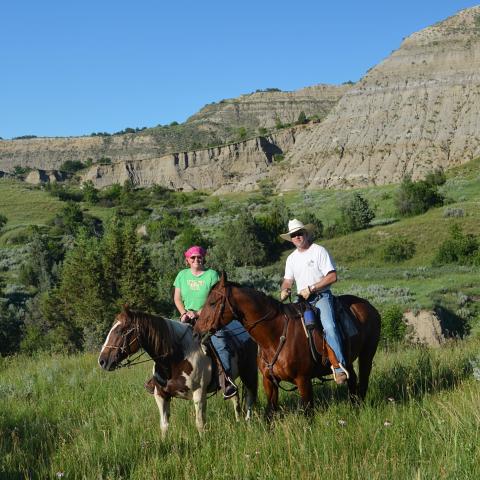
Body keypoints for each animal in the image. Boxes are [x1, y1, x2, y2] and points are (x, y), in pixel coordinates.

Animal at [97, 306, 258, 436]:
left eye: (120, 331)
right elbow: (164, 425)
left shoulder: (199, 393)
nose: (102, 361)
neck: (175, 358)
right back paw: (238, 421)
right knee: (235, 397)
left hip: (249, 373)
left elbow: (200, 423)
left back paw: (248, 423)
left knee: (250, 398)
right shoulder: (161, 395)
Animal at [193, 274, 380, 416]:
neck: (274, 336)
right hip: (348, 360)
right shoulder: (269, 382)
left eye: (212, 303)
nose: (196, 331)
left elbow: (308, 414)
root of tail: (367, 305)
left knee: (362, 381)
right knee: (352, 380)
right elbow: (270, 414)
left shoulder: (303, 381)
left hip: (367, 355)